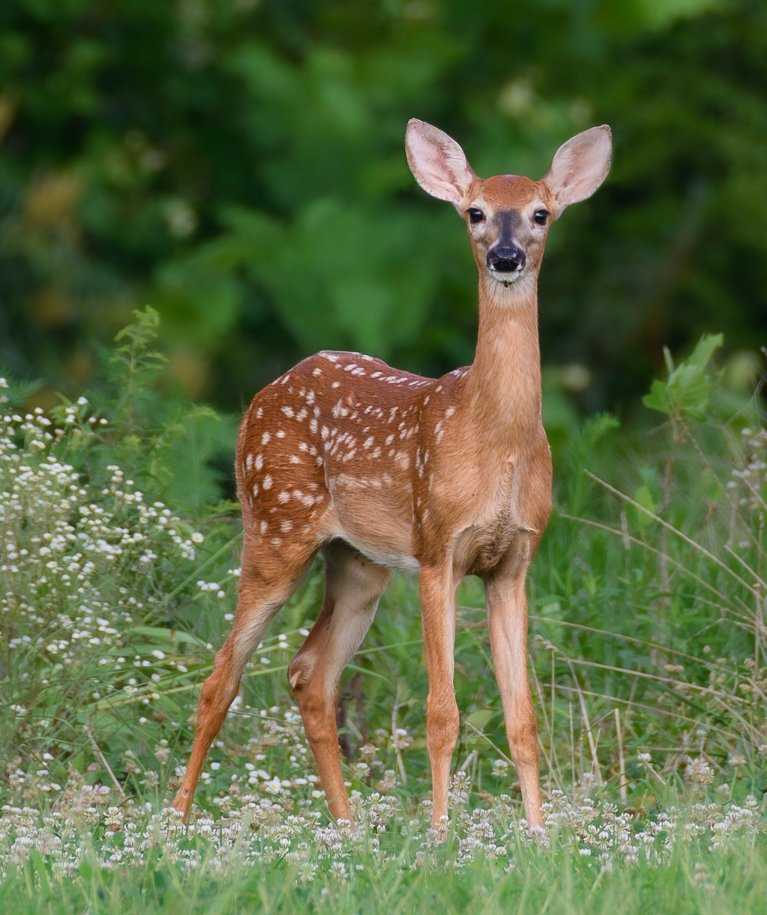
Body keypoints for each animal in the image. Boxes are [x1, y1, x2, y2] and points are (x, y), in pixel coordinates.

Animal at [172, 119, 612, 830]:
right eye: (475, 211)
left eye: (540, 213)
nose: (506, 257)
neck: (496, 440)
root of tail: (260, 398)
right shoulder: (437, 548)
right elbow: (442, 714)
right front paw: (439, 832)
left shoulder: (514, 561)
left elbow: (523, 721)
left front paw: (540, 834)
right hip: (274, 525)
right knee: (222, 674)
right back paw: (176, 820)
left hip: (358, 563)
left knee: (308, 673)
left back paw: (347, 829)